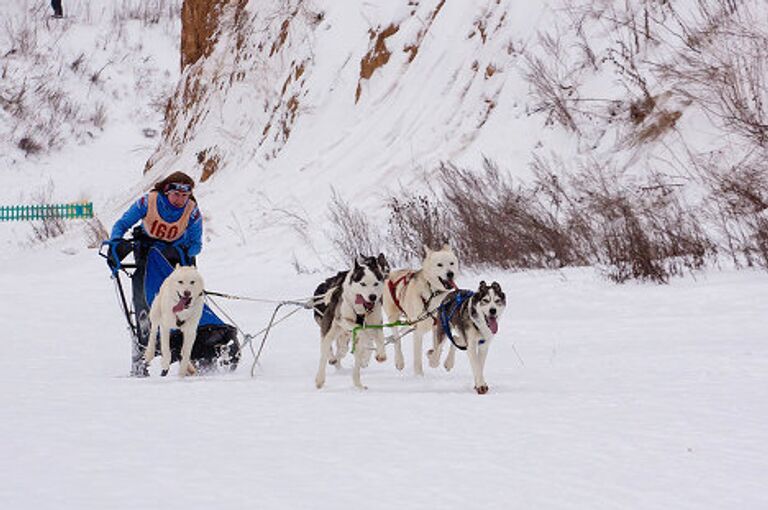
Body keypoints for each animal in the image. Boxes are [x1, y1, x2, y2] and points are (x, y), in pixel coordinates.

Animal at [382, 243, 460, 374]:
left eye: (451, 263)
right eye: (440, 264)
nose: (450, 274)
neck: (433, 294)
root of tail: (391, 274)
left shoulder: (440, 325)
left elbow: (439, 348)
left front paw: (439, 359)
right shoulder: (419, 330)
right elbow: (418, 357)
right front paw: (419, 375)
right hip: (393, 317)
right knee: (397, 340)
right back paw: (399, 361)